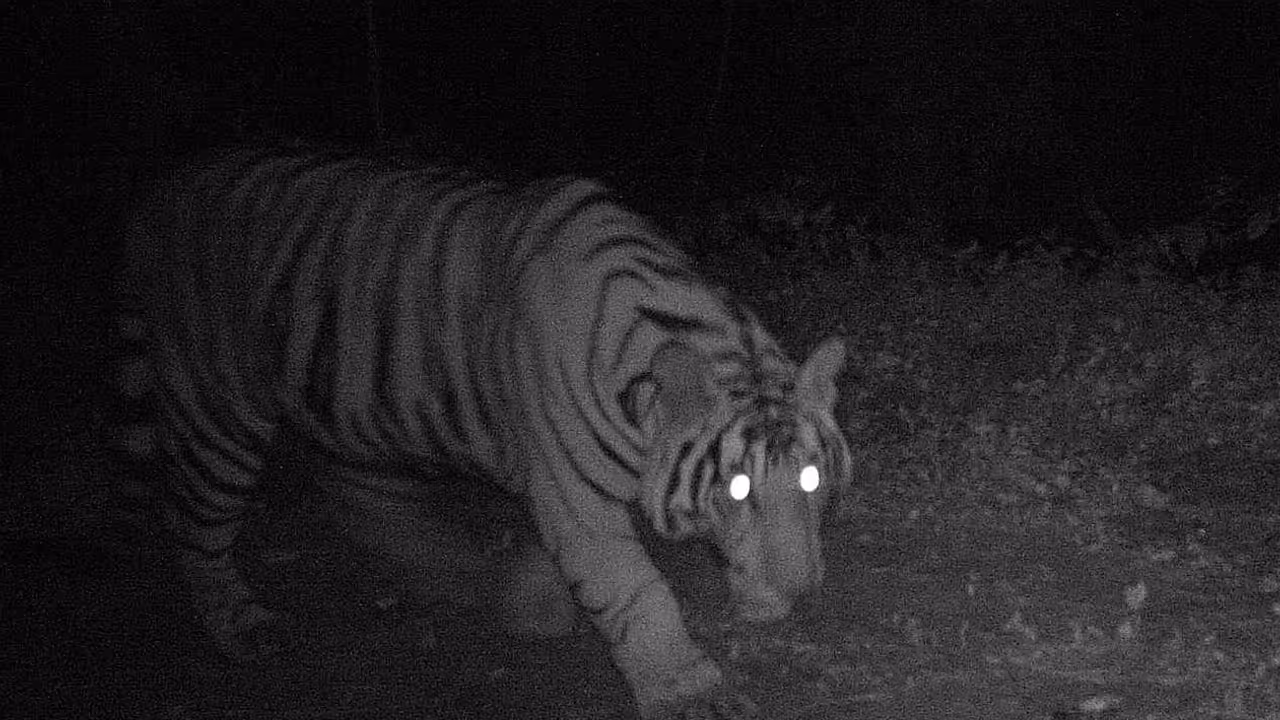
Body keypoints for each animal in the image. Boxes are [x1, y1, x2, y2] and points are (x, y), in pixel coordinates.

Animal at [120, 145, 852, 720]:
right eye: (736, 489)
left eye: (811, 479)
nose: (803, 593)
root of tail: (169, 187)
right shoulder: (575, 504)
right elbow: (637, 593)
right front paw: (690, 691)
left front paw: (762, 599)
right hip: (218, 413)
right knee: (194, 522)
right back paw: (242, 625)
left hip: (356, 406)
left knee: (361, 495)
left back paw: (480, 576)